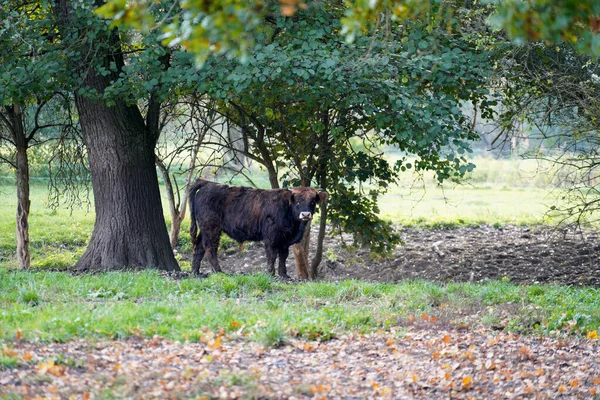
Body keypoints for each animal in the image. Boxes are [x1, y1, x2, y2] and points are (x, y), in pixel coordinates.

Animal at [189, 179, 326, 276]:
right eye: (297, 201)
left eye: (313, 201)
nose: (305, 214)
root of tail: (208, 184)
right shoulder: (271, 237)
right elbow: (272, 255)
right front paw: (271, 273)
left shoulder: (285, 240)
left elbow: (283, 256)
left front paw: (284, 274)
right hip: (211, 228)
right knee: (210, 248)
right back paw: (218, 271)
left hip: (205, 230)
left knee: (199, 248)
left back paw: (195, 272)